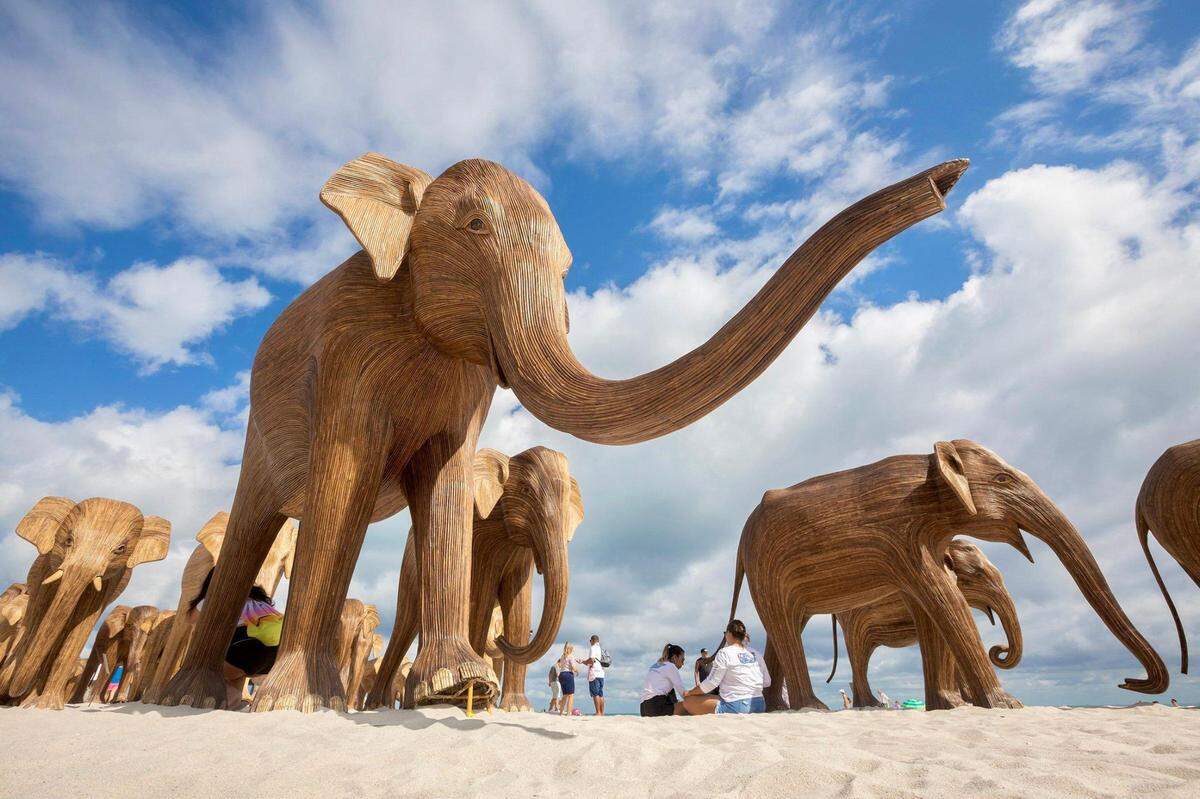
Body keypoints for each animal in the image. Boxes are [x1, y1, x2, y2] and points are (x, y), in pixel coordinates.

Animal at [0, 497, 170, 709]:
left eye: (120, 549)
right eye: (68, 540)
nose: (12, 692)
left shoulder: (110, 582)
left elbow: (83, 624)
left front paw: (47, 705)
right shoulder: (46, 568)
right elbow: (41, 614)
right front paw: (29, 702)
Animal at [366, 446, 584, 711]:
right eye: (526, 491)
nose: (500, 638)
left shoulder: (520, 554)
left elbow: (519, 612)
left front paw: (516, 708)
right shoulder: (481, 538)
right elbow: (482, 600)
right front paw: (476, 700)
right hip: (409, 567)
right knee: (404, 625)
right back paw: (381, 706)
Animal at [822, 539, 1022, 708]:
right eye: (979, 575)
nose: (999, 649)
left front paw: (967, 701)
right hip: (852, 618)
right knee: (858, 654)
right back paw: (871, 705)